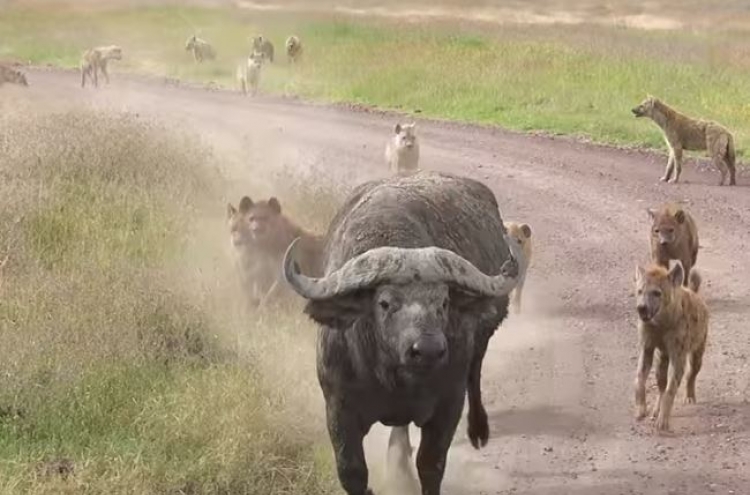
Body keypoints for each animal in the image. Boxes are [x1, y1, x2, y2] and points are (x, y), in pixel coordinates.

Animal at [284, 171, 524, 495]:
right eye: (384, 303)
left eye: (443, 302)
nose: (428, 349)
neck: (392, 377)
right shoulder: (337, 406)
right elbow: (351, 471)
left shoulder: (448, 403)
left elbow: (431, 465)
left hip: (482, 343)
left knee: (475, 375)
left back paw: (477, 430)